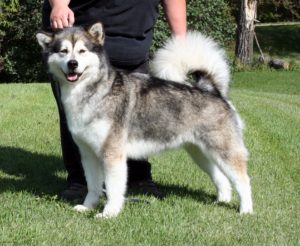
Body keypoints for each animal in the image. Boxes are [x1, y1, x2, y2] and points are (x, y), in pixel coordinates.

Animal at [36, 22, 252, 219]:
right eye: (63, 51)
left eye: (82, 51)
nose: (72, 63)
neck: (89, 93)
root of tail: (213, 91)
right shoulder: (88, 154)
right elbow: (93, 186)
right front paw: (88, 207)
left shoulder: (112, 154)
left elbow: (113, 189)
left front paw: (109, 213)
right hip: (200, 153)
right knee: (221, 177)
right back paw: (222, 200)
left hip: (224, 151)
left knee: (243, 181)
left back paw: (246, 210)